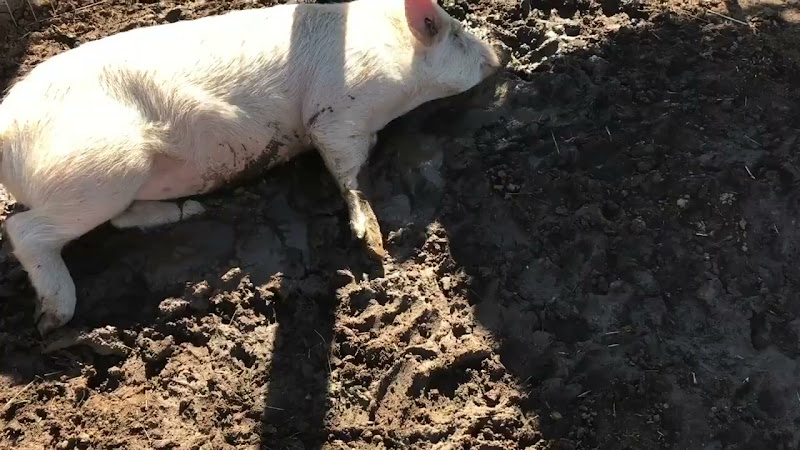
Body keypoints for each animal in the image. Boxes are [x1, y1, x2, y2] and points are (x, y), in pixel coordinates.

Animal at [0, 0, 501, 335]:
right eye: (456, 35)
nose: (501, 56)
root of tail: (8, 134)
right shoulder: (337, 111)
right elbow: (346, 169)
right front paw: (375, 244)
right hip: (101, 167)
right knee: (24, 230)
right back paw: (52, 321)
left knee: (120, 219)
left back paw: (193, 211)